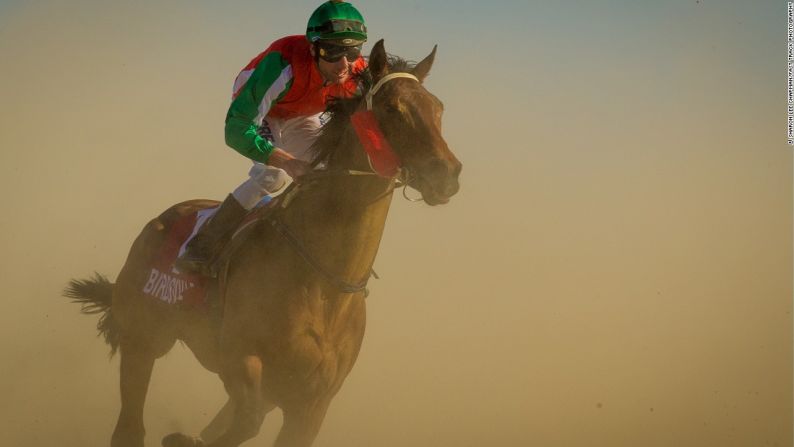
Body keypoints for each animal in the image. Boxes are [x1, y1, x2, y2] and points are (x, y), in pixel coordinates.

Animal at [65, 39, 460, 447]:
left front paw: (187, 437)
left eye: (438, 108)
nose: (447, 174)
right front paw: (182, 438)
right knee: (130, 426)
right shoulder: (239, 359)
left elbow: (247, 422)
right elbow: (247, 419)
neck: (325, 287)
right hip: (143, 340)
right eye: (392, 109)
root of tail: (162, 219)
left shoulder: (310, 406)